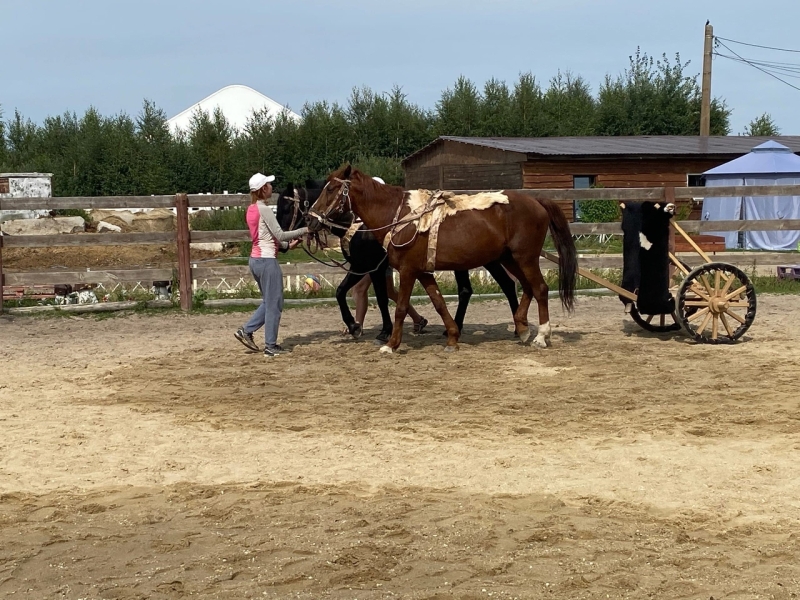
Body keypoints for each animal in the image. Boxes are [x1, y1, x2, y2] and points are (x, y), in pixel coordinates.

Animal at [306, 165, 576, 352]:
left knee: (540, 288)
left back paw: (541, 336)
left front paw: (391, 344)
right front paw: (452, 337)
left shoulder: (407, 270)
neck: (399, 217)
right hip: (509, 259)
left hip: (525, 257)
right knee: (526, 287)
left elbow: (400, 307)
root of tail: (536, 201)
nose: (309, 218)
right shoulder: (423, 271)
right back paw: (521, 328)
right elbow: (438, 303)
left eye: (330, 189)